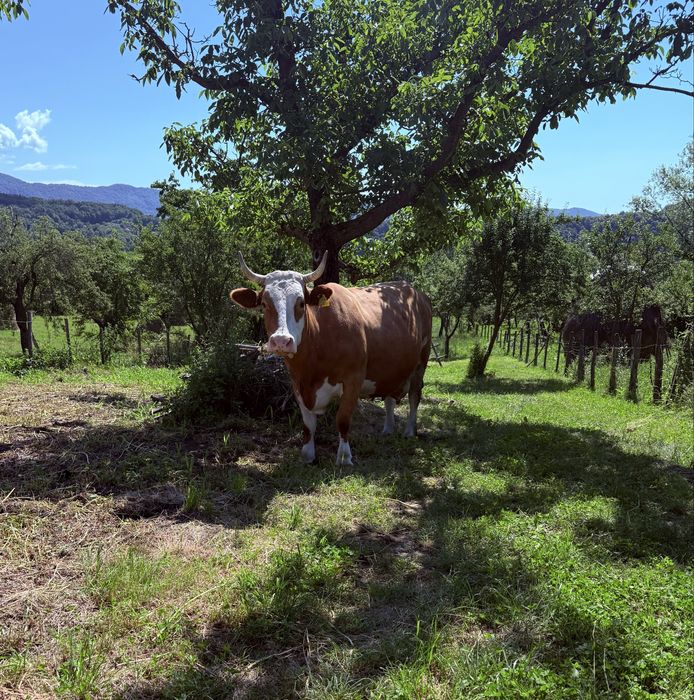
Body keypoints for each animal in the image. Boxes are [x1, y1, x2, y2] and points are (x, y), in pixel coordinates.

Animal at [230, 252, 433, 466]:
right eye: (264, 304)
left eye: (301, 303)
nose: (281, 341)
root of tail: (415, 292)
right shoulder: (297, 383)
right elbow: (308, 424)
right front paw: (308, 454)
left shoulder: (354, 379)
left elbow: (342, 419)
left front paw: (344, 457)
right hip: (392, 368)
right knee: (389, 397)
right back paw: (388, 429)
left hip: (422, 361)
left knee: (414, 395)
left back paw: (409, 431)